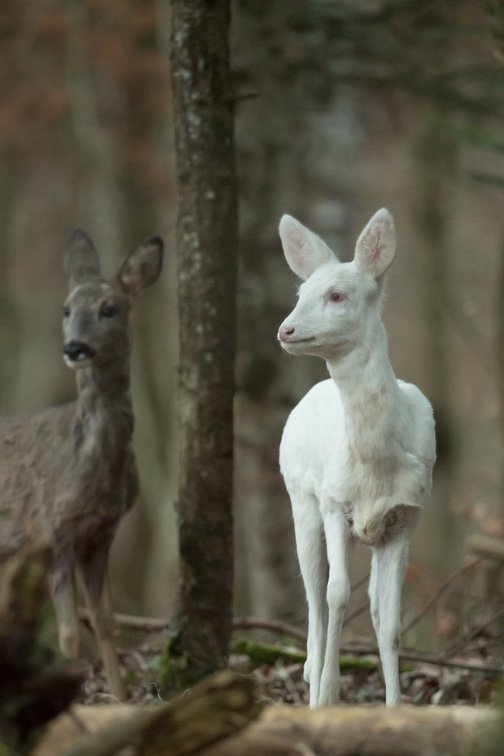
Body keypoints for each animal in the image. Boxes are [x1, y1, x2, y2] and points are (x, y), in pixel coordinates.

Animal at [0, 227, 163, 700]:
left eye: (109, 308)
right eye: (66, 308)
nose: (74, 348)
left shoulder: (100, 534)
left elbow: (106, 625)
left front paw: (120, 701)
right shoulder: (52, 530)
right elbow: (70, 634)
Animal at [278, 210, 436, 704]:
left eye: (336, 295)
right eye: (299, 293)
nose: (285, 329)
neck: (375, 468)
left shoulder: (406, 518)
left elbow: (390, 623)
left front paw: (395, 706)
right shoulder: (334, 502)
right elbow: (335, 596)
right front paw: (327, 697)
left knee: (365, 605)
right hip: (299, 497)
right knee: (313, 594)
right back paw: (311, 676)